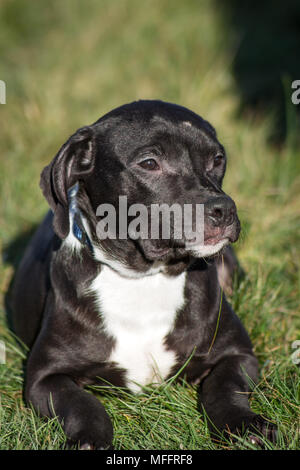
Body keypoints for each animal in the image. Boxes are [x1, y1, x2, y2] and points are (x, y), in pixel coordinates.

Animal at [11, 99, 276, 448]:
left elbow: (224, 388)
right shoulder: (45, 377)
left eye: (217, 159)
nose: (224, 208)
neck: (145, 277)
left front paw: (244, 424)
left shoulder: (239, 355)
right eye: (149, 163)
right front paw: (89, 438)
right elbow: (83, 405)